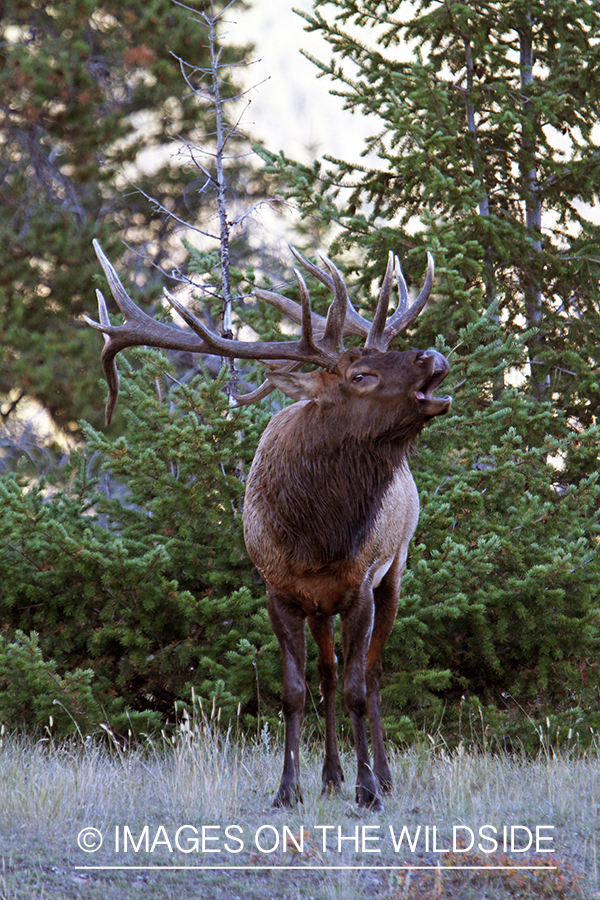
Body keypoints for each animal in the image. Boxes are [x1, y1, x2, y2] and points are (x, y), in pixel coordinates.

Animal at [84, 240, 452, 811]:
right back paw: (330, 775)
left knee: (372, 673)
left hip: (396, 567)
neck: (316, 537)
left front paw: (368, 790)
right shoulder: (278, 590)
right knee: (327, 674)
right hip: (322, 607)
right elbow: (294, 692)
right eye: (359, 376)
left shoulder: (360, 585)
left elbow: (358, 690)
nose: (432, 356)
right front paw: (288, 790)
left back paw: (382, 775)